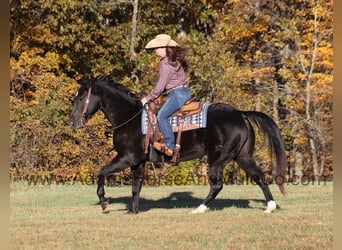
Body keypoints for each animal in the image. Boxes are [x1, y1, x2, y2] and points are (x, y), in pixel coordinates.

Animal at [71, 75, 288, 214]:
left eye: (81, 98)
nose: (72, 122)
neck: (129, 117)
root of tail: (241, 114)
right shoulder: (138, 162)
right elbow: (136, 187)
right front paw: (133, 211)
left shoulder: (127, 158)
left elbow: (101, 173)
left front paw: (104, 203)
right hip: (242, 156)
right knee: (259, 177)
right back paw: (270, 207)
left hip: (218, 158)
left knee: (217, 184)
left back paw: (199, 209)